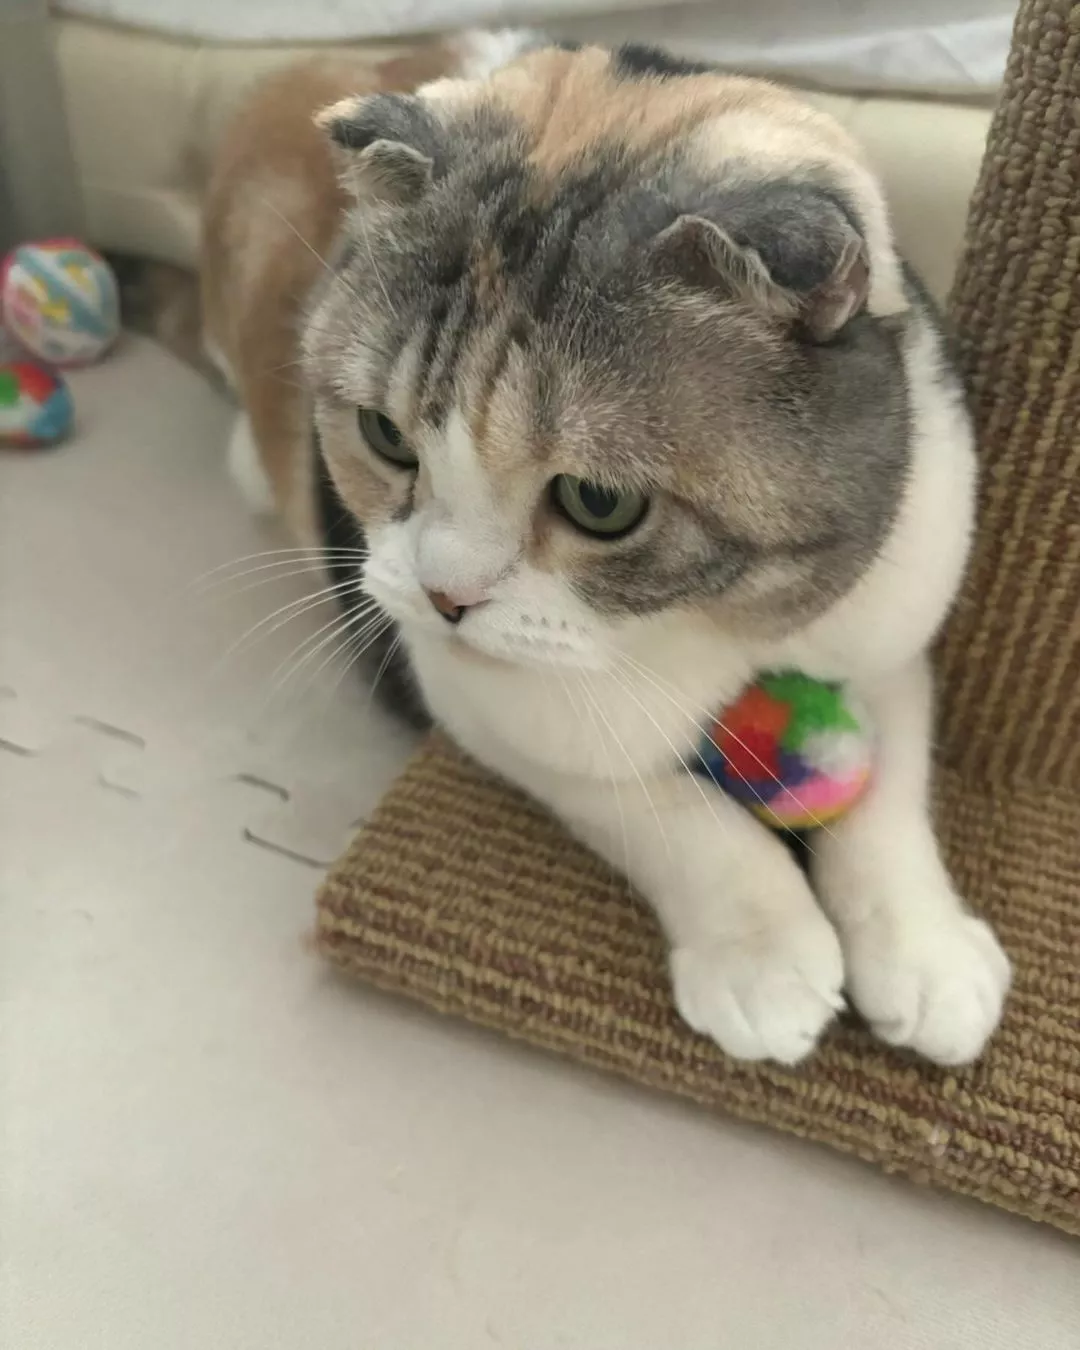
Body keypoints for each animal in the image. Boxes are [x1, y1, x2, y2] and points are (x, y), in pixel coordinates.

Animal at [202, 35, 1010, 1066]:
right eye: (385, 435)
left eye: (600, 502)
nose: (444, 597)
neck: (722, 619)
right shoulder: (489, 702)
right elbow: (662, 807)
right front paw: (765, 955)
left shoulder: (897, 613)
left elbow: (892, 791)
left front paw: (926, 955)